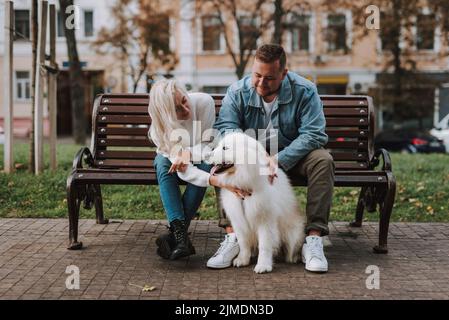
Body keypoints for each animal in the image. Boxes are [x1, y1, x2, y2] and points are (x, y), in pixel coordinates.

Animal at [206, 131, 304, 274]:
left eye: (225, 148)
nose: (206, 155)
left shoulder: (265, 220)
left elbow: (265, 245)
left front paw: (263, 265)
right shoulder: (238, 220)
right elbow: (243, 243)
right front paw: (242, 260)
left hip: (293, 234)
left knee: (292, 248)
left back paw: (293, 257)